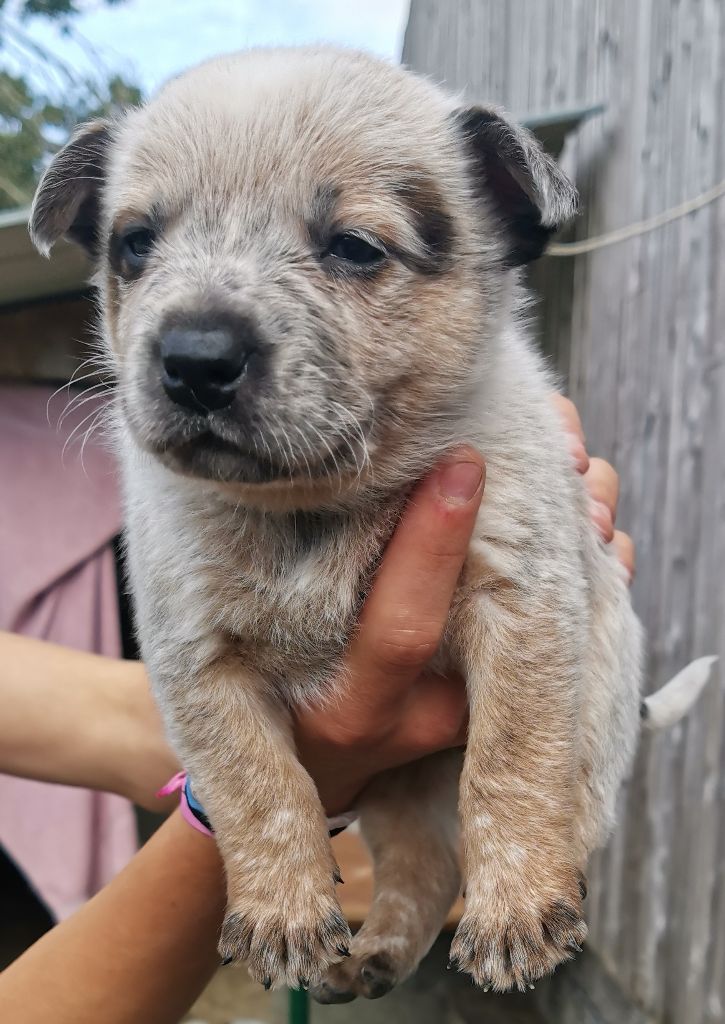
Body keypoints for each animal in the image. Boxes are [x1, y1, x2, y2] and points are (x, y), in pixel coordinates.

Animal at [28, 48, 708, 999]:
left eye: (353, 248)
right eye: (134, 244)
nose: (195, 358)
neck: (315, 510)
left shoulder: (519, 603)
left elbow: (511, 761)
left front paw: (514, 911)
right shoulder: (193, 657)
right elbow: (254, 782)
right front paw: (282, 914)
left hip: (598, 714)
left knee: (556, 807)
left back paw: (536, 893)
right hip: (394, 800)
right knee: (422, 866)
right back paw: (377, 954)